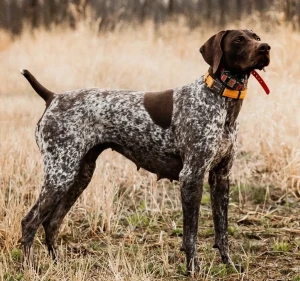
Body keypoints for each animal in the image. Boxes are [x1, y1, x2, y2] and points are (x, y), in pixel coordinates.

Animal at [20, 29, 270, 272]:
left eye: (256, 37)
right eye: (239, 39)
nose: (265, 47)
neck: (221, 100)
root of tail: (53, 97)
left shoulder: (221, 177)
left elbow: (222, 230)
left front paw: (229, 264)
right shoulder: (192, 176)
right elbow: (191, 234)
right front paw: (194, 269)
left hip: (79, 175)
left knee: (52, 222)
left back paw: (57, 264)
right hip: (60, 175)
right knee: (29, 222)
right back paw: (30, 268)